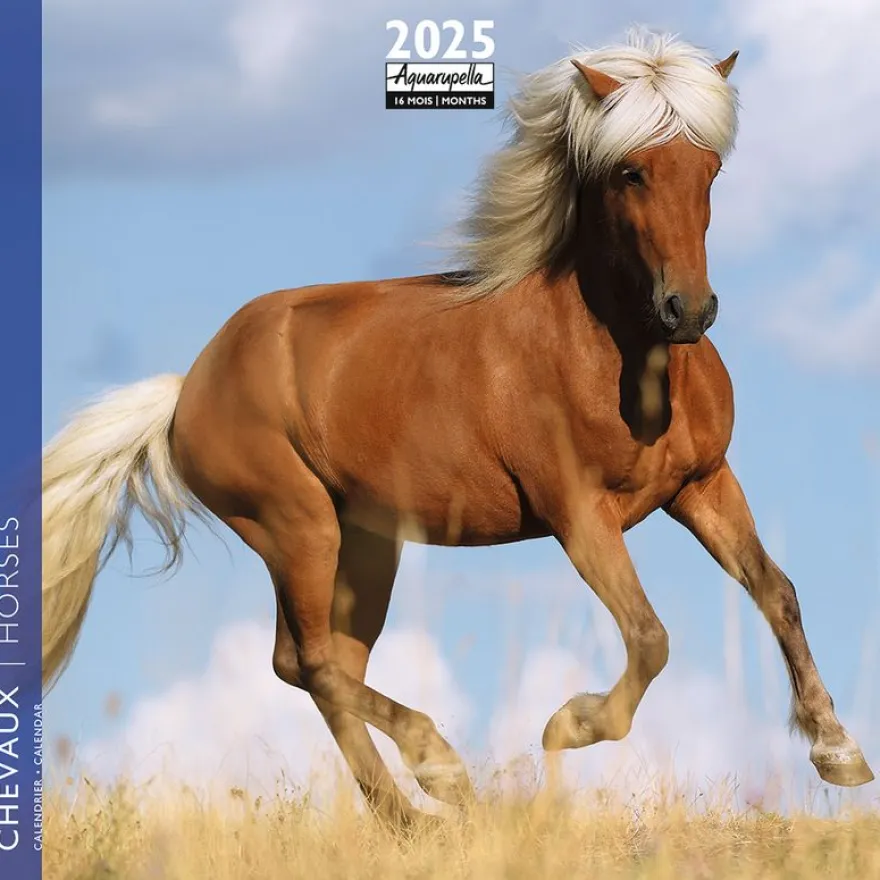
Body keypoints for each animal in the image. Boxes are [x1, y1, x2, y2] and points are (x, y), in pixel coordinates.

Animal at [42, 30, 874, 827]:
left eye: (711, 169)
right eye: (631, 171)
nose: (689, 310)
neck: (621, 358)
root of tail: (189, 388)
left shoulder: (702, 484)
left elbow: (777, 591)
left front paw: (837, 752)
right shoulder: (579, 514)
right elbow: (649, 636)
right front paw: (569, 725)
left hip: (365, 543)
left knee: (320, 666)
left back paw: (416, 817)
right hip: (296, 524)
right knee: (312, 662)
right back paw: (440, 772)